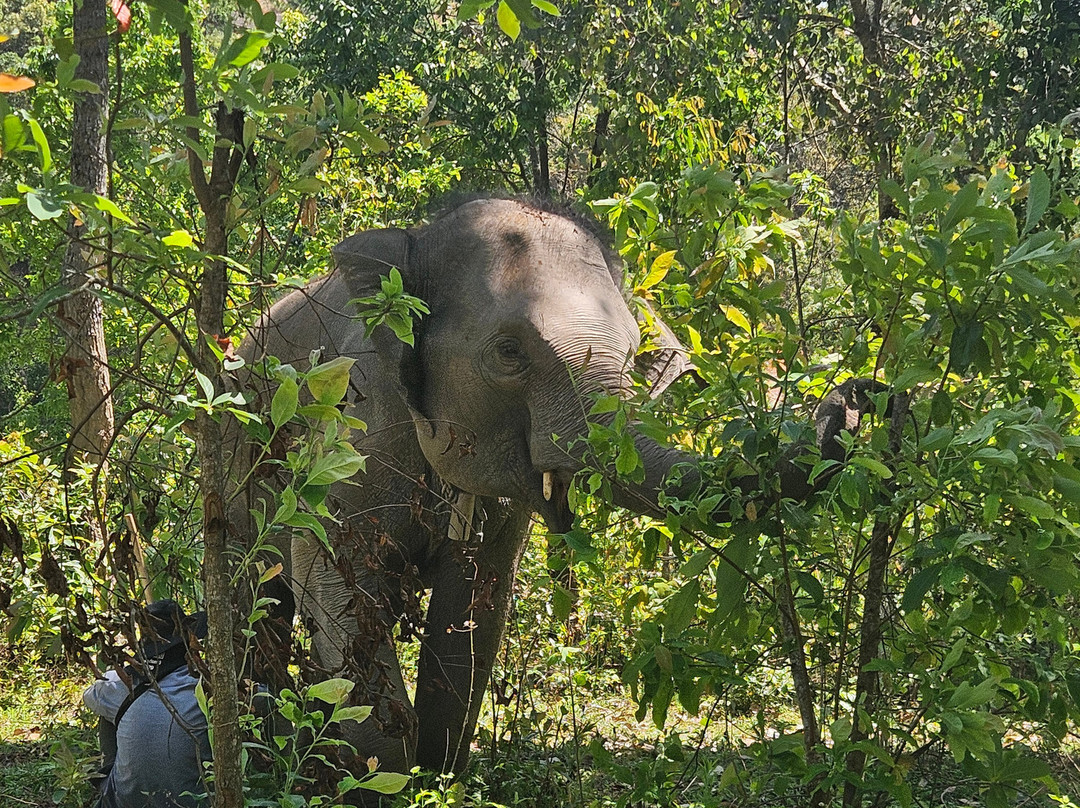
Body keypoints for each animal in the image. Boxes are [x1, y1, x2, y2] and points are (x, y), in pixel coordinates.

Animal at [226, 196, 879, 782]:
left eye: (634, 354)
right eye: (509, 352)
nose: (859, 394)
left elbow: (474, 605)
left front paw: (434, 777)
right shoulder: (354, 425)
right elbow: (328, 571)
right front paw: (379, 779)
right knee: (251, 594)